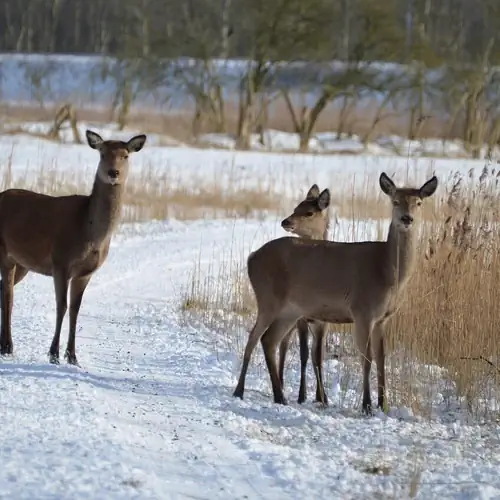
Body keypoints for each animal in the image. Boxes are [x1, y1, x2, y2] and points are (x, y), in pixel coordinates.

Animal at [0, 128, 146, 368]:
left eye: (125, 155)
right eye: (102, 153)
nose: (113, 172)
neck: (89, 231)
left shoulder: (85, 273)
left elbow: (76, 310)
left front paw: (72, 356)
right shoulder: (60, 261)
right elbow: (62, 306)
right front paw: (53, 354)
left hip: (21, 263)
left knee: (5, 291)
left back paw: (5, 345)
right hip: (5, 253)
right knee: (8, 294)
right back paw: (7, 346)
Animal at [232, 172, 436, 414]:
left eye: (418, 202)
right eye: (395, 201)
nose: (407, 219)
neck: (386, 271)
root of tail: (251, 257)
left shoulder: (382, 318)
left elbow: (381, 358)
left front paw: (383, 404)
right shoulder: (362, 310)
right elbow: (366, 358)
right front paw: (367, 405)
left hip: (291, 310)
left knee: (269, 340)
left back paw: (279, 396)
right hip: (267, 298)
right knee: (254, 338)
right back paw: (241, 391)